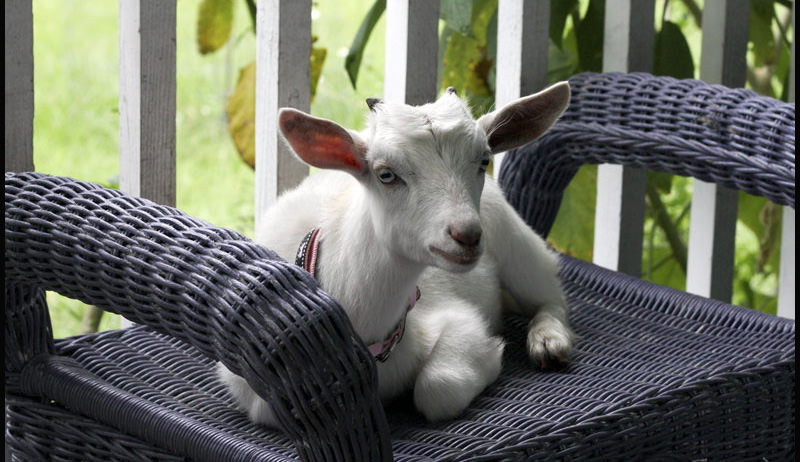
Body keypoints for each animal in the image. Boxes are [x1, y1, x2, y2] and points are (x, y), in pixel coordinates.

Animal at [218, 82, 575, 425]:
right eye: (386, 174)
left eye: (484, 160)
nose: (468, 235)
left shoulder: (459, 321)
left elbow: (438, 388)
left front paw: (493, 356)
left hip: (516, 243)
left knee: (549, 293)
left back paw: (548, 342)